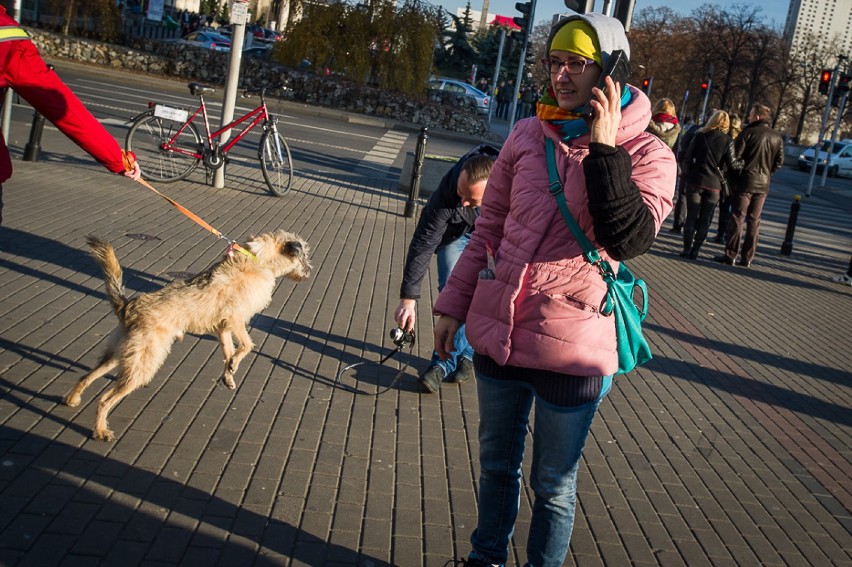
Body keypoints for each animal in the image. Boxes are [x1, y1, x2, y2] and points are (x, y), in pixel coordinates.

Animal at [65, 232, 312, 444]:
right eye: (303, 256)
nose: (309, 271)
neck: (258, 260)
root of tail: (128, 307)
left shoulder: (223, 327)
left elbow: (227, 350)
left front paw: (229, 374)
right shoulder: (236, 318)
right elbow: (246, 345)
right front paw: (234, 364)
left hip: (120, 354)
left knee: (86, 376)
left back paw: (72, 399)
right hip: (144, 363)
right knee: (105, 400)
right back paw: (100, 430)